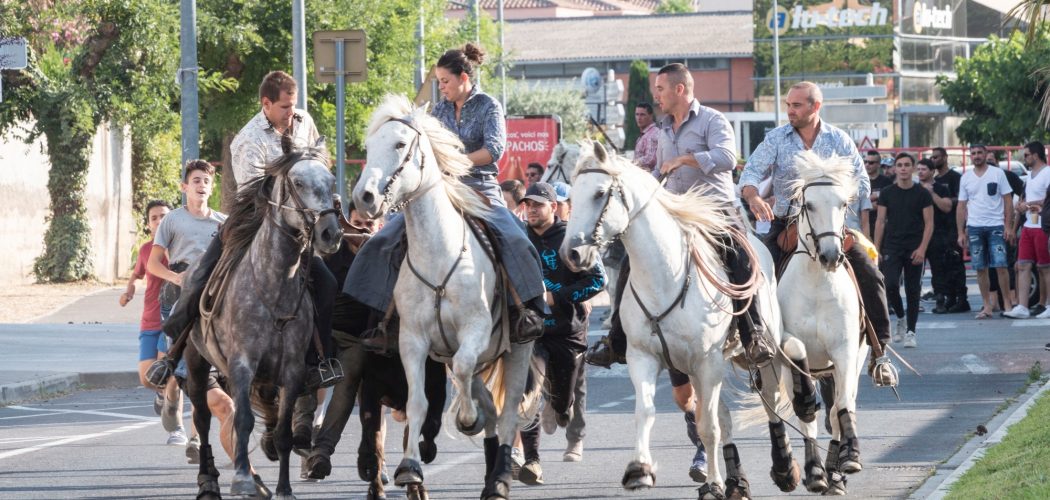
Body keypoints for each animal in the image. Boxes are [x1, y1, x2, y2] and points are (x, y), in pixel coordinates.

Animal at [183, 140, 340, 500]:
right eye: (298, 182)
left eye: (331, 181)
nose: (330, 233)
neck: (274, 284)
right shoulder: (243, 363)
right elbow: (242, 421)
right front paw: (241, 479)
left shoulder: (292, 370)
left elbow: (283, 431)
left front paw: (284, 488)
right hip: (197, 364)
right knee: (202, 418)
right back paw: (208, 480)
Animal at [354, 94, 533, 500]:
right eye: (368, 148)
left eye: (400, 144)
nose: (364, 197)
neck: (439, 255)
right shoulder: (413, 341)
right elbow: (417, 403)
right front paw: (410, 467)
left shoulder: (474, 331)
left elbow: (465, 376)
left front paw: (466, 420)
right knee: (491, 409)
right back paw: (489, 473)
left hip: (517, 350)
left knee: (507, 412)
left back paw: (500, 479)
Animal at [567, 141, 789, 500]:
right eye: (572, 194)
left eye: (600, 193)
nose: (572, 254)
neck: (666, 276)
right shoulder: (642, 357)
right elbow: (646, 412)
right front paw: (639, 471)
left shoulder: (707, 361)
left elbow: (708, 427)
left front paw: (713, 484)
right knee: (722, 416)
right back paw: (735, 480)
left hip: (758, 355)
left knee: (770, 401)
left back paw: (785, 469)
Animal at [781, 150, 869, 493]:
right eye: (809, 205)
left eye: (844, 203)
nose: (832, 256)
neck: (818, 281)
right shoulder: (788, 353)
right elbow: (806, 412)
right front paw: (814, 472)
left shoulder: (844, 350)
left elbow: (841, 405)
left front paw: (850, 456)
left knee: (839, 406)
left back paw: (837, 468)